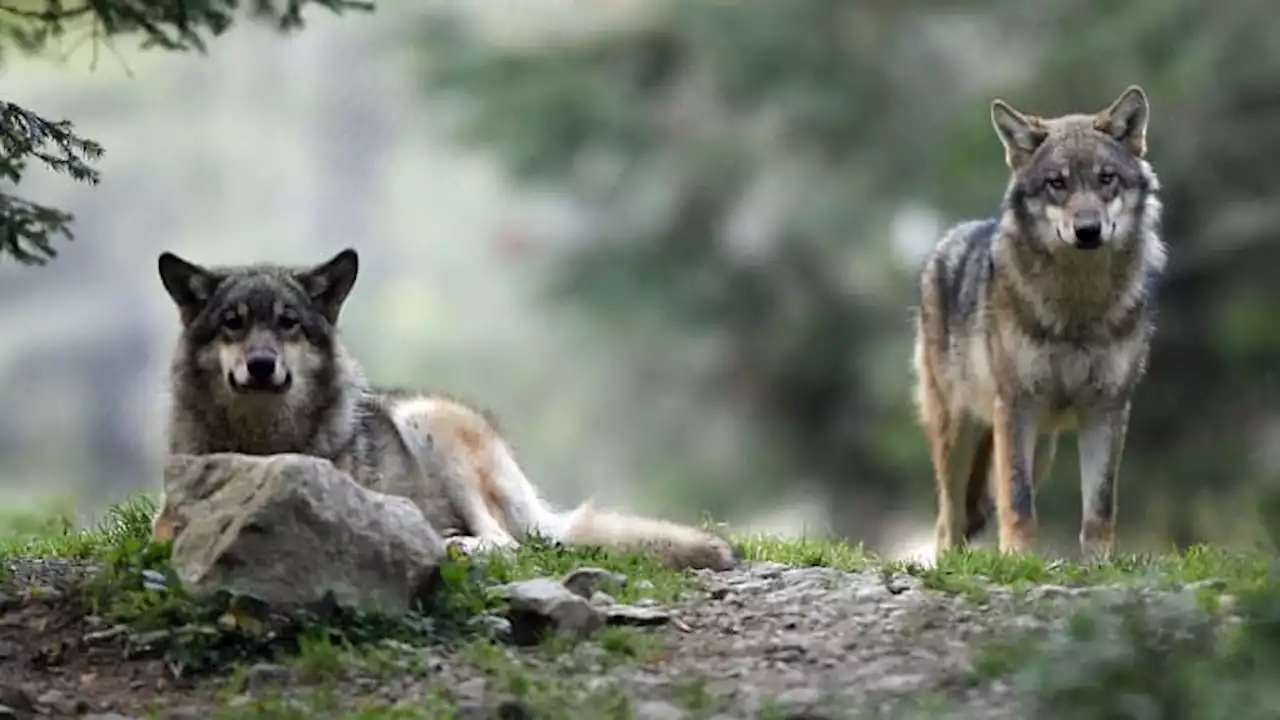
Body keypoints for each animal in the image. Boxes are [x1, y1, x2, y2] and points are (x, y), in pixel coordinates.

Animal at [152, 249, 742, 568]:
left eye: (287, 323)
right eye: (232, 323)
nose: (261, 365)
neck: (262, 442)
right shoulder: (167, 517)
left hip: (428, 424)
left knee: (505, 544)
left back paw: (449, 543)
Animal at [911, 83, 1172, 556]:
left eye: (1106, 178)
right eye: (1057, 183)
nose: (1088, 230)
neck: (1077, 308)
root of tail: (948, 240)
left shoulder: (1107, 409)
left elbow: (1099, 505)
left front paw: (1098, 563)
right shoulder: (1017, 405)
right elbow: (1018, 500)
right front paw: (1018, 559)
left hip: (1043, 448)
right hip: (959, 434)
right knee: (948, 521)